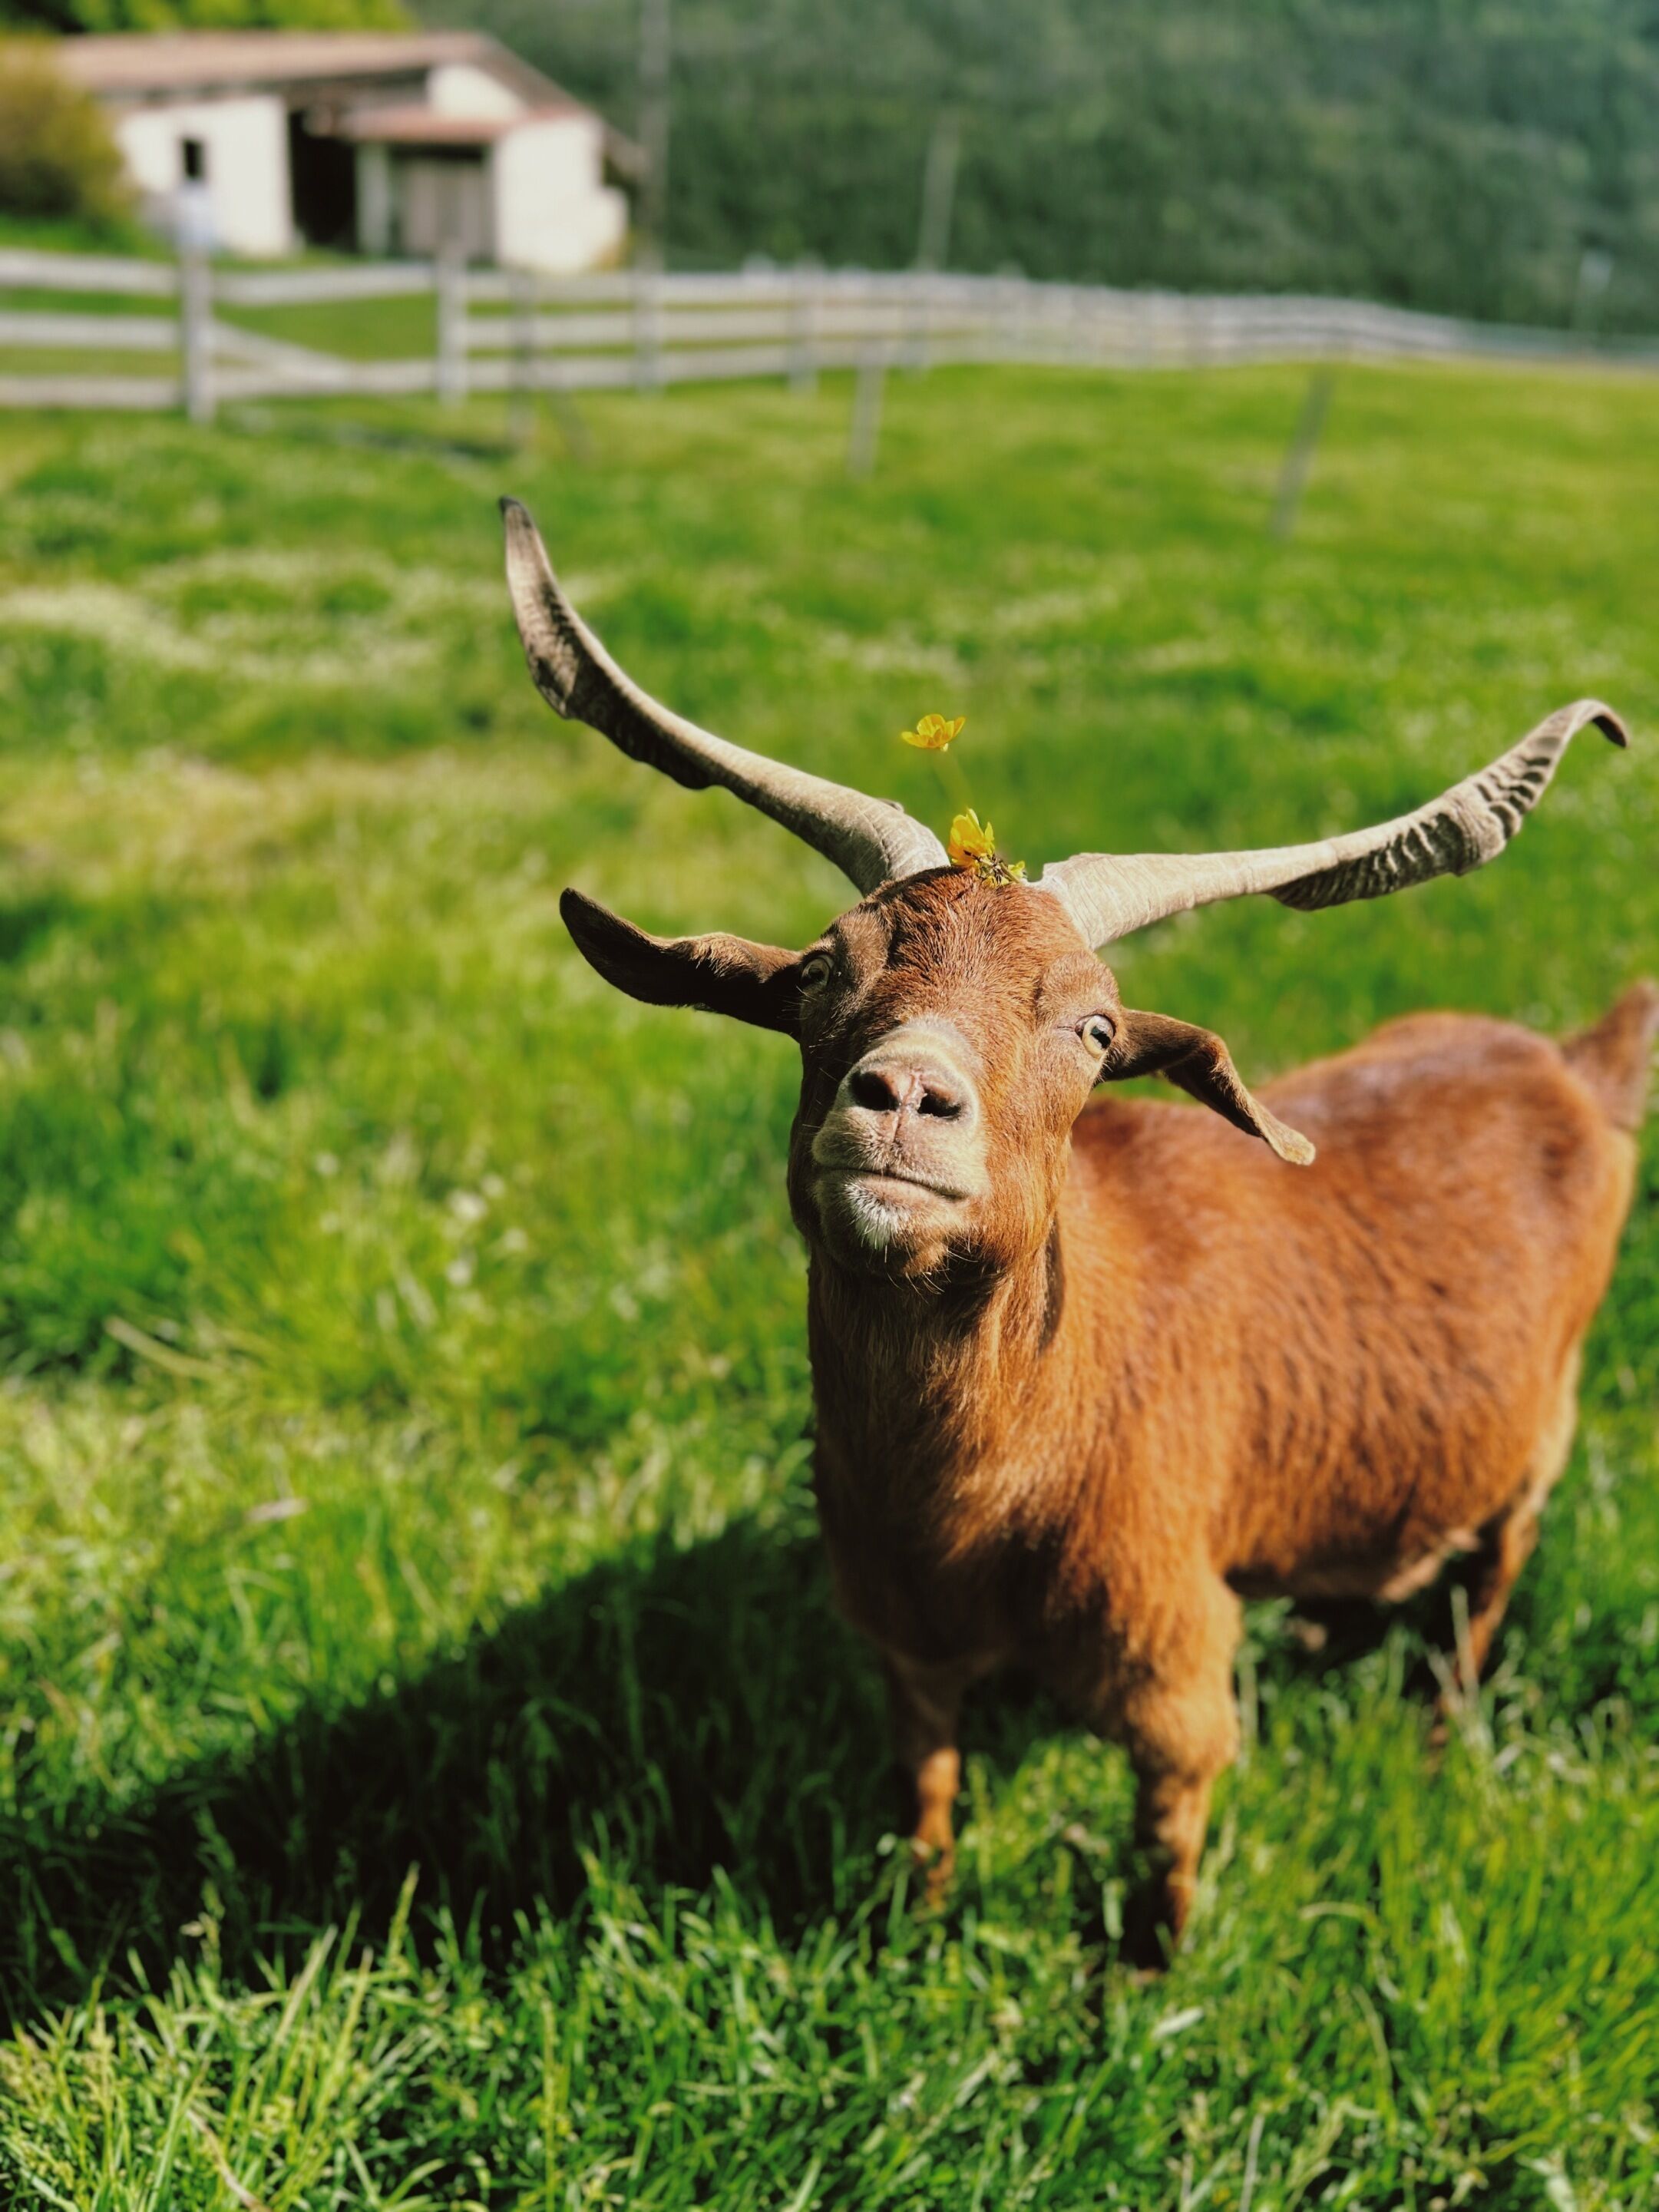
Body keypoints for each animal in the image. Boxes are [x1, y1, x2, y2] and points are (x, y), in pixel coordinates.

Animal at [503, 498, 1656, 1965]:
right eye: (820, 972)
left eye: (1097, 1029)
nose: (905, 1096)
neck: (989, 1500)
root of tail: (1576, 1061)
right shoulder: (902, 1641)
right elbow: (926, 1793)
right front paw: (922, 1921)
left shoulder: (1173, 1667)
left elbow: (1167, 1850)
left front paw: (1144, 1980)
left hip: (1540, 1441)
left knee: (1487, 1587)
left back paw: (1440, 1735)